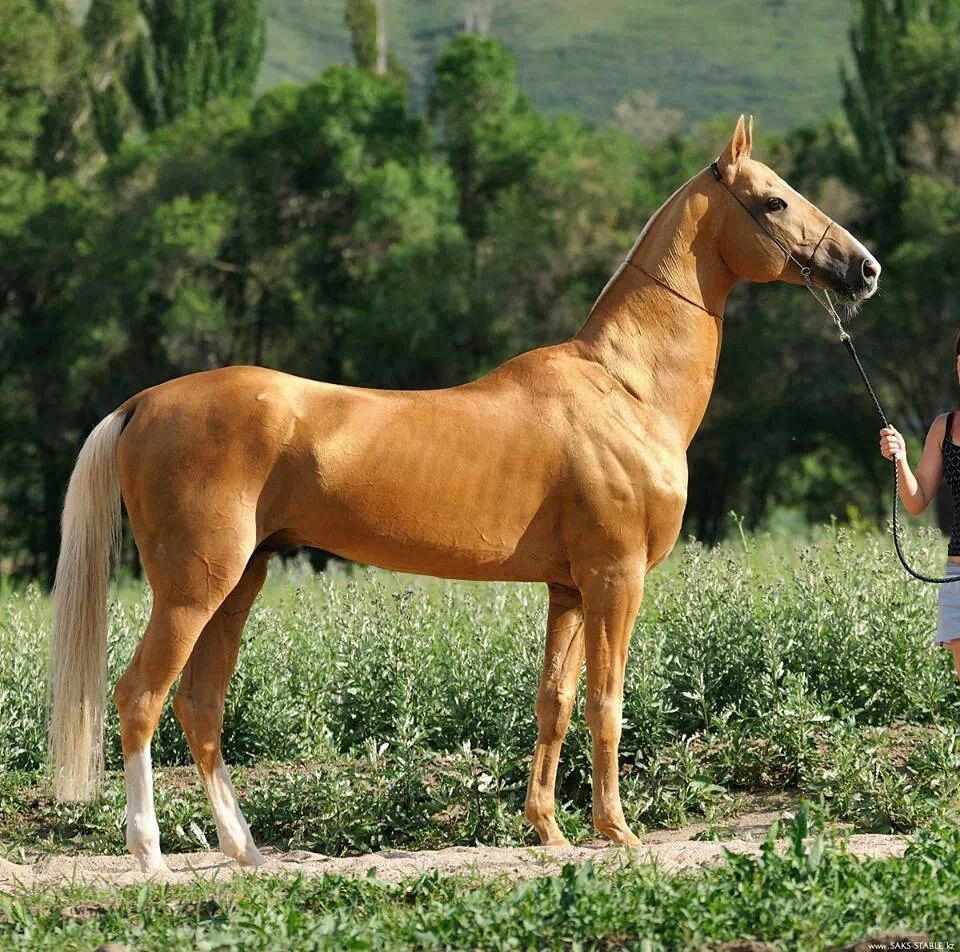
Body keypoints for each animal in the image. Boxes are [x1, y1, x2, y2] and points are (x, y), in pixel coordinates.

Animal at [50, 117, 876, 872]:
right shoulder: (615, 580)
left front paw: (548, 830)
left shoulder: (568, 589)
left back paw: (247, 852)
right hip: (192, 589)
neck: (625, 388)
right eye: (773, 200)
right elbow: (607, 703)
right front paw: (616, 831)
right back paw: (152, 858)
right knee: (140, 697)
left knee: (200, 705)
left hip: (239, 583)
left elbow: (554, 703)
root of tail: (144, 403)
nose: (863, 269)